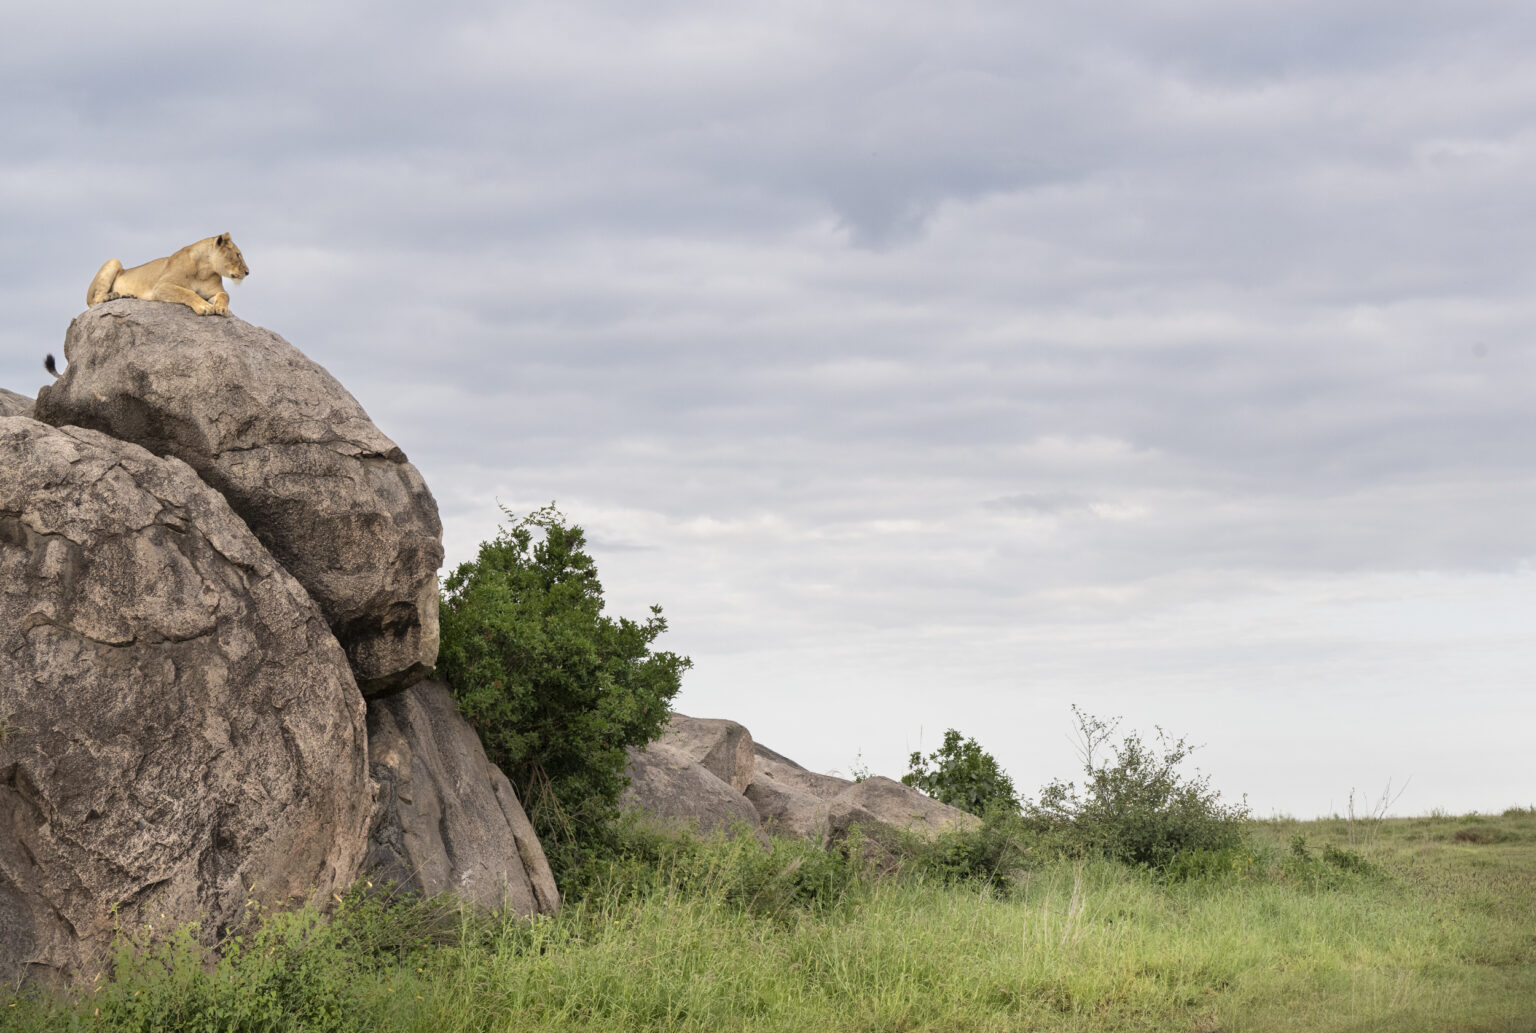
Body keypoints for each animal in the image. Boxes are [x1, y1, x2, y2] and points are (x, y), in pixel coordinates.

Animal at [86, 234, 249, 316]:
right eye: (238, 254)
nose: (248, 272)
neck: (205, 270)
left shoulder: (214, 291)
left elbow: (224, 295)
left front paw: (223, 308)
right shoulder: (161, 286)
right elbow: (187, 292)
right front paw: (204, 306)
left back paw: (126, 295)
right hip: (114, 261)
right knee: (93, 302)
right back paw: (111, 296)